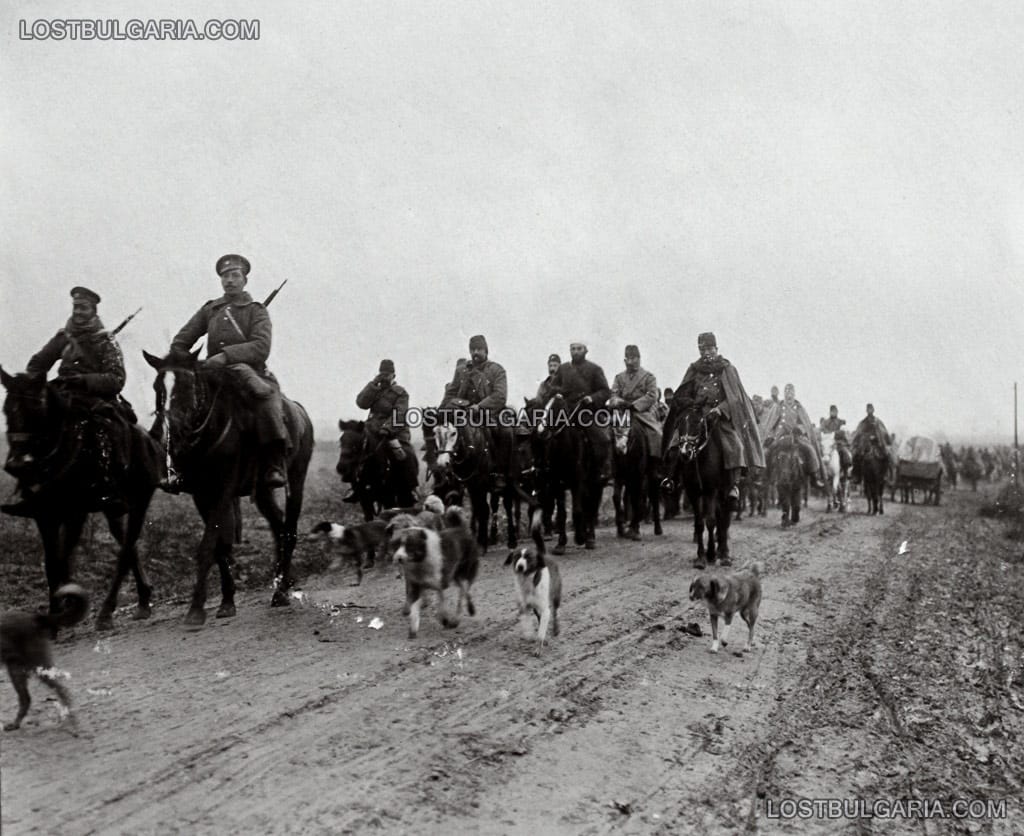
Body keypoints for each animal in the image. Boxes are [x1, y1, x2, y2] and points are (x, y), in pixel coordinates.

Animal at [0, 364, 161, 627]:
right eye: (6, 409)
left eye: (37, 408)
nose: (17, 464)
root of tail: (150, 441)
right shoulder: (45, 516)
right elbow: (53, 565)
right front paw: (56, 613)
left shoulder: (75, 513)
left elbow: (62, 560)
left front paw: (66, 611)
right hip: (113, 508)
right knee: (127, 542)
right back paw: (143, 600)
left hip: (140, 501)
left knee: (126, 550)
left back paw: (107, 611)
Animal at [2, 581, 89, 729]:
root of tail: (35, 617)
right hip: (17, 670)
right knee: (26, 699)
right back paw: (15, 724)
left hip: (39, 667)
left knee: (62, 690)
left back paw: (72, 722)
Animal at [143, 348, 311, 627]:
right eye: (158, 387)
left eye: (187, 386)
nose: (163, 433)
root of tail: (299, 410)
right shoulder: (202, 495)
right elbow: (220, 546)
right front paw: (227, 601)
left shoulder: (224, 489)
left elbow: (208, 545)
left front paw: (196, 609)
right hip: (262, 491)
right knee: (278, 527)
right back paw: (284, 584)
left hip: (296, 481)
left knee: (289, 531)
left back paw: (279, 593)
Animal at [387, 506, 479, 635]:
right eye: (397, 544)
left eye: (410, 545)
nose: (398, 558)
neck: (421, 561)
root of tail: (460, 528)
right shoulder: (415, 584)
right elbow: (414, 605)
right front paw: (413, 627)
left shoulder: (441, 583)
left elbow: (440, 604)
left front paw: (445, 619)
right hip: (456, 575)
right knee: (463, 590)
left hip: (465, 571)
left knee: (464, 591)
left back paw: (461, 616)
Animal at [667, 405, 733, 569]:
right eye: (679, 424)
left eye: (698, 424)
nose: (685, 452)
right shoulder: (694, 492)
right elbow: (699, 523)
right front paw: (701, 557)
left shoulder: (711, 491)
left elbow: (710, 521)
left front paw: (711, 554)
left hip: (724, 492)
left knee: (724, 518)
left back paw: (724, 554)